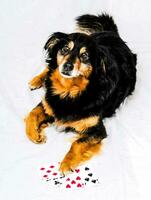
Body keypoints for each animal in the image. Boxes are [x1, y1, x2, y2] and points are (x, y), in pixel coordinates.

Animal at [25, 14, 137, 173]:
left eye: (84, 56)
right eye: (65, 49)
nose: (67, 66)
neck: (69, 91)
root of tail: (113, 34)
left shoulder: (97, 130)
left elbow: (77, 143)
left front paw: (66, 163)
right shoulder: (49, 103)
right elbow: (32, 114)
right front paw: (35, 134)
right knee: (49, 66)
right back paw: (36, 80)